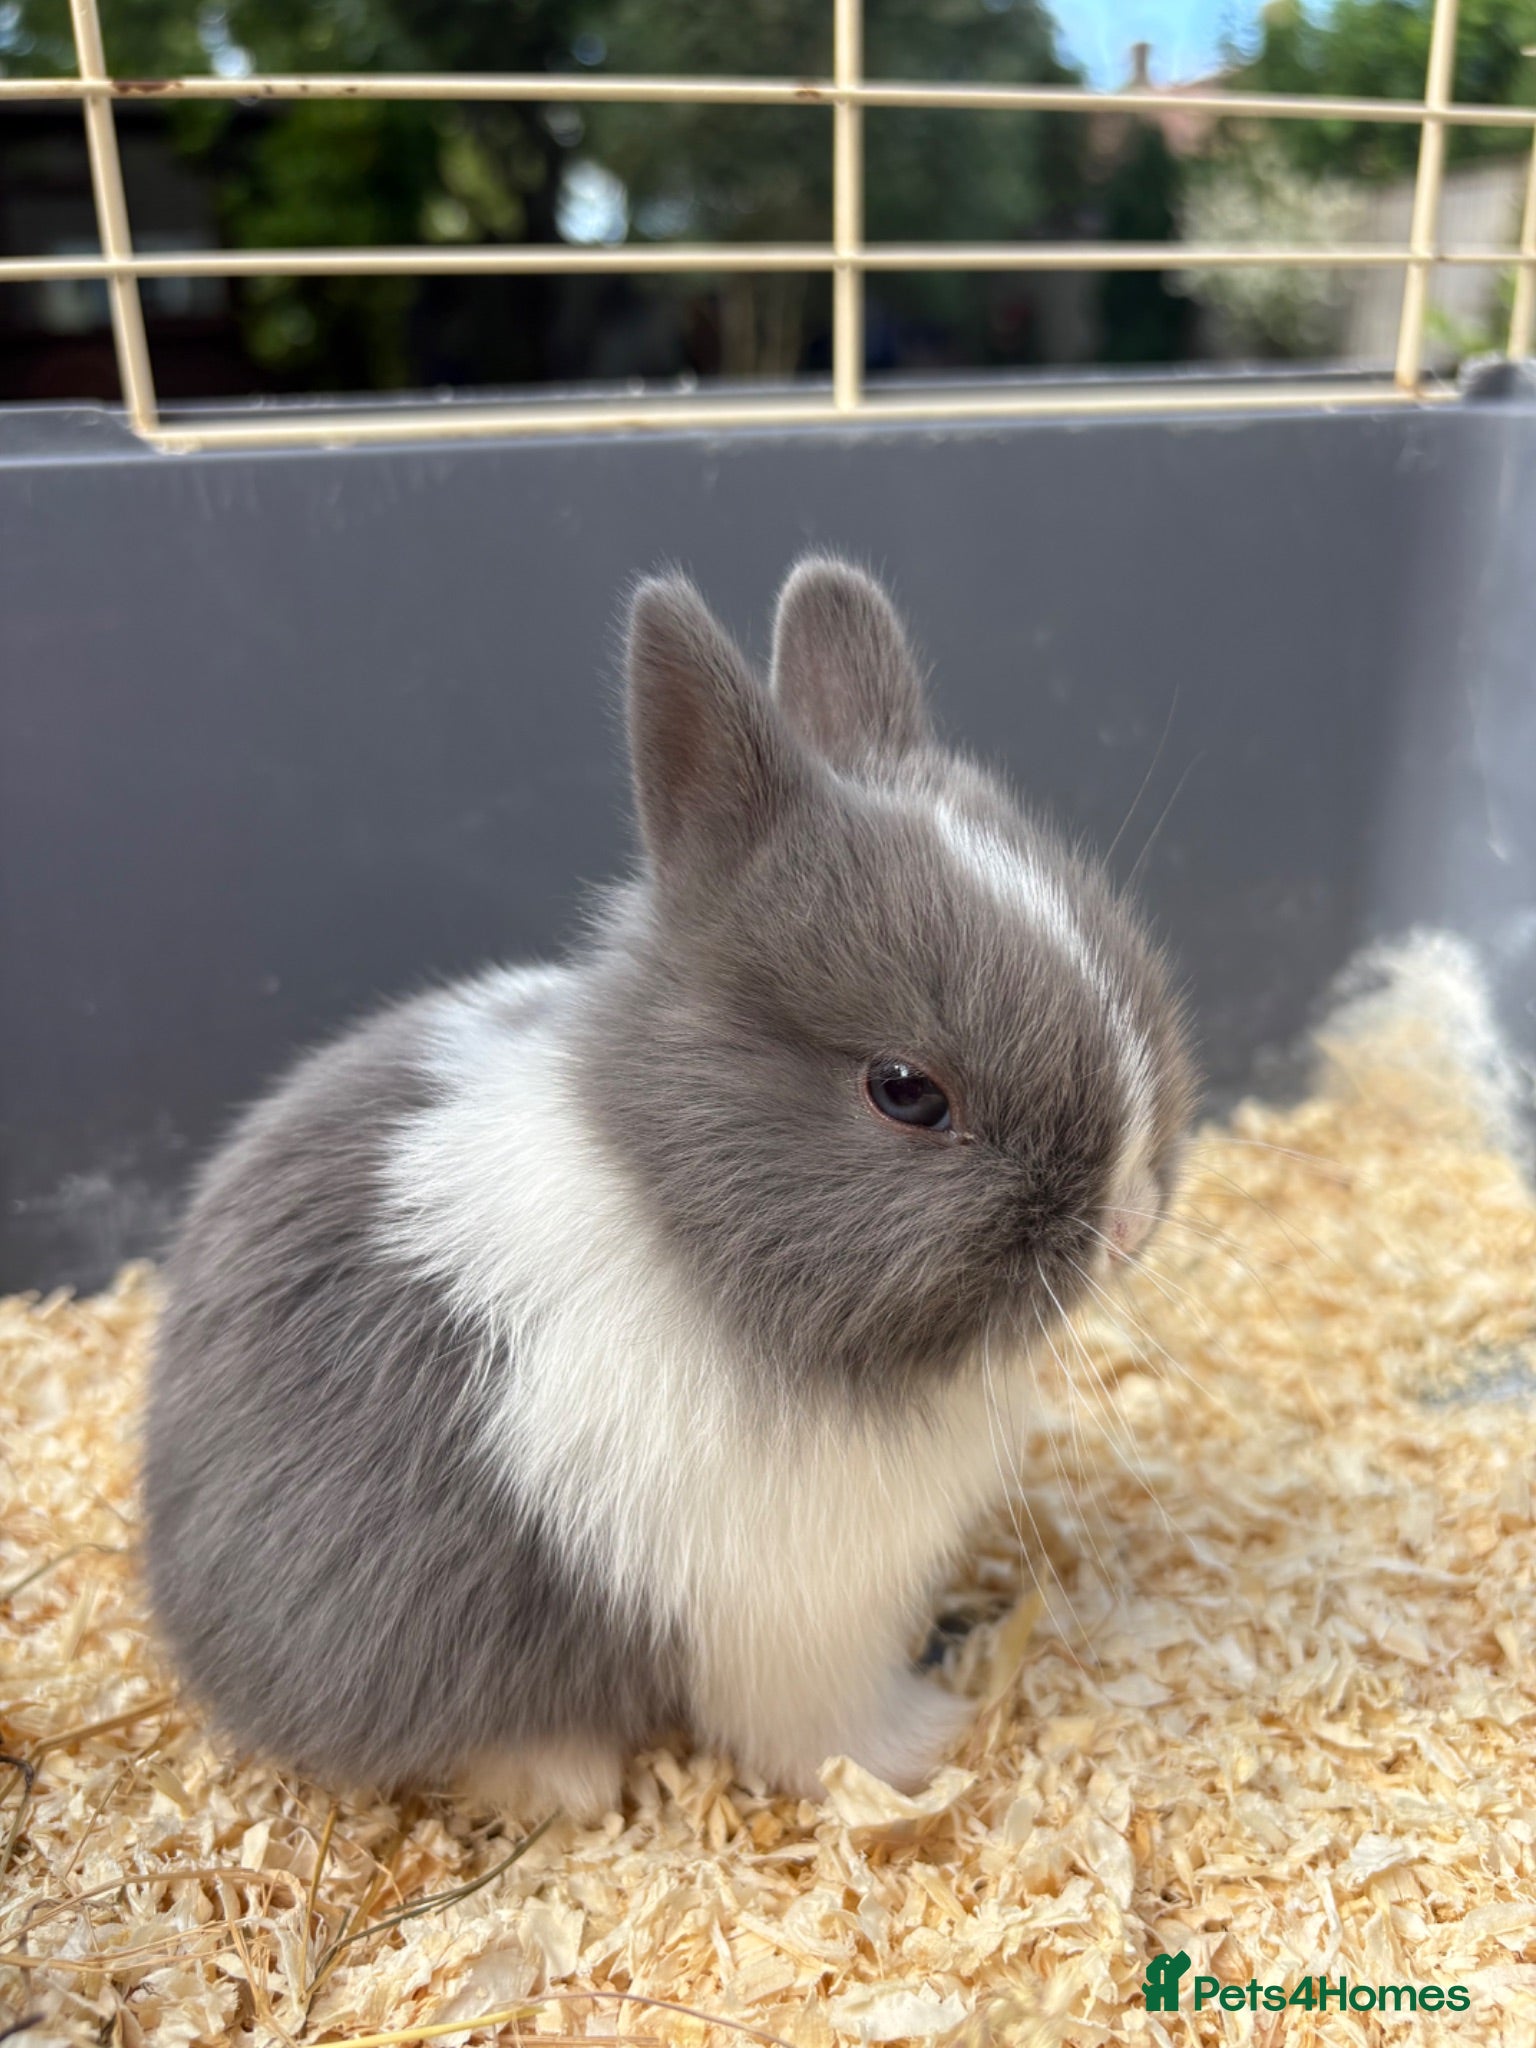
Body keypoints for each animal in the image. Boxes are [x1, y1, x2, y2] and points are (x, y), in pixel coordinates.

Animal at [143, 556, 1194, 1822]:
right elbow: (817, 1722)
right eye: (907, 1092)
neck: (687, 1216)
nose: (1132, 1218)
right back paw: (570, 1775)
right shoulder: (787, 1614)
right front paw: (918, 1747)